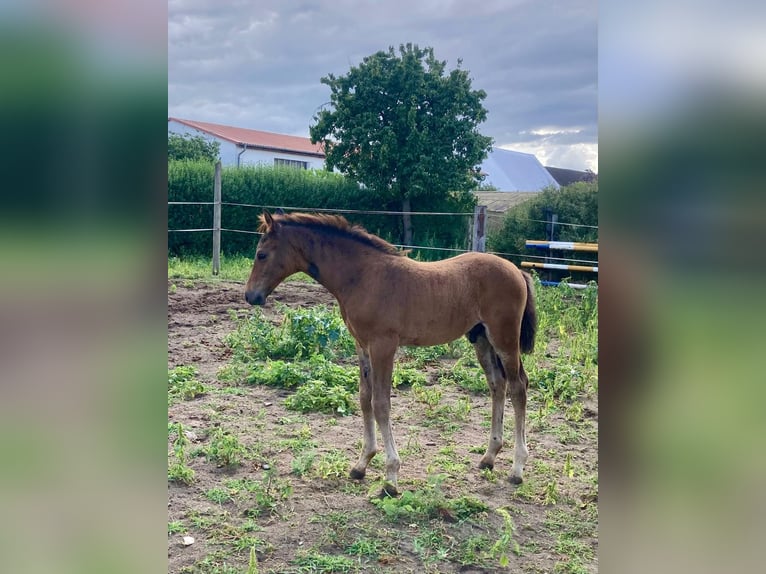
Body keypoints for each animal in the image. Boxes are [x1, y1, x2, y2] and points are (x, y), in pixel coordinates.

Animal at [245, 211, 536, 496]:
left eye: (262, 254)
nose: (251, 296)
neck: (362, 276)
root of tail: (517, 271)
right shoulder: (362, 346)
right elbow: (365, 398)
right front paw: (361, 464)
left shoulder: (383, 346)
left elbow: (381, 404)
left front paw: (391, 478)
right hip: (482, 339)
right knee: (497, 385)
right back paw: (489, 457)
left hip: (504, 339)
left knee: (518, 387)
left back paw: (517, 469)